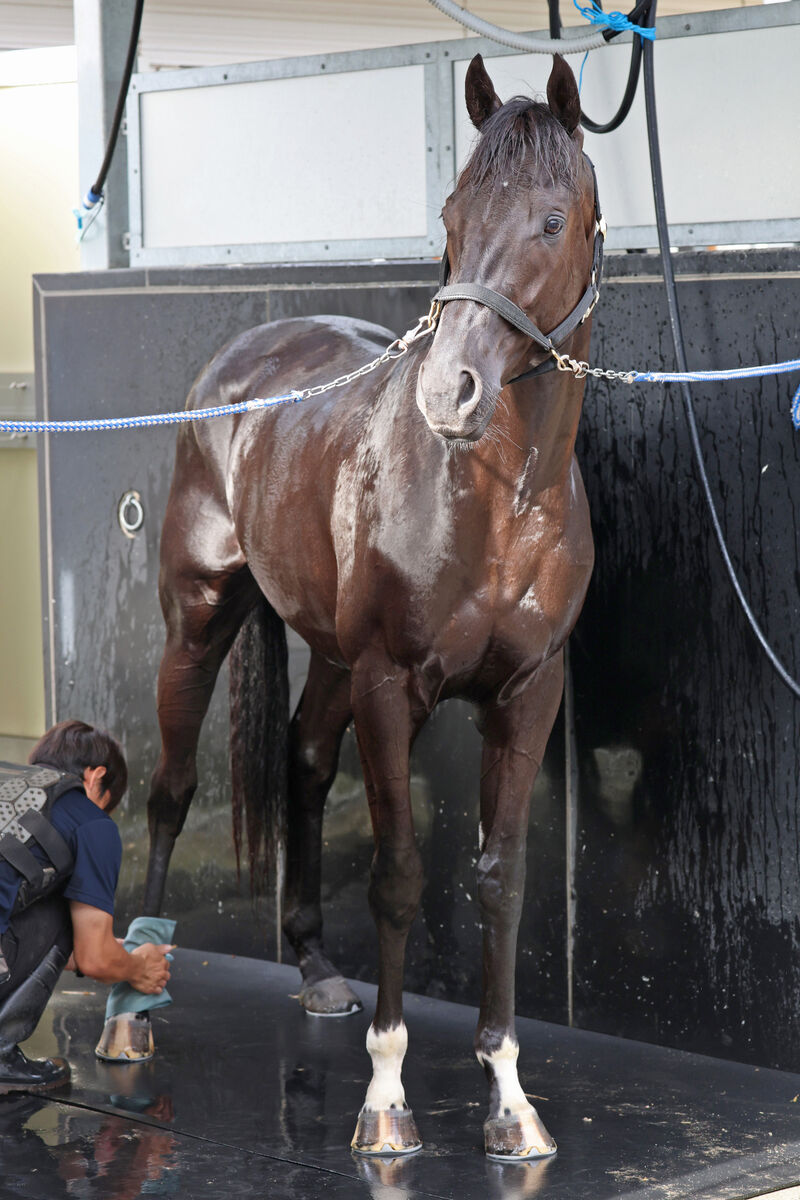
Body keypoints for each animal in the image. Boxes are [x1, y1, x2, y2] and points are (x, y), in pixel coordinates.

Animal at [142, 58, 599, 1161]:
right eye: (451, 213)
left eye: (551, 219)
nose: (451, 392)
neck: (498, 497)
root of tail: (240, 359)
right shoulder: (394, 686)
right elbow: (397, 874)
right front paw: (386, 1101)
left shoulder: (528, 694)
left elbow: (500, 879)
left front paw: (508, 1099)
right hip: (198, 620)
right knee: (169, 787)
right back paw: (127, 995)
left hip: (334, 661)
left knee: (305, 762)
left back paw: (312, 970)